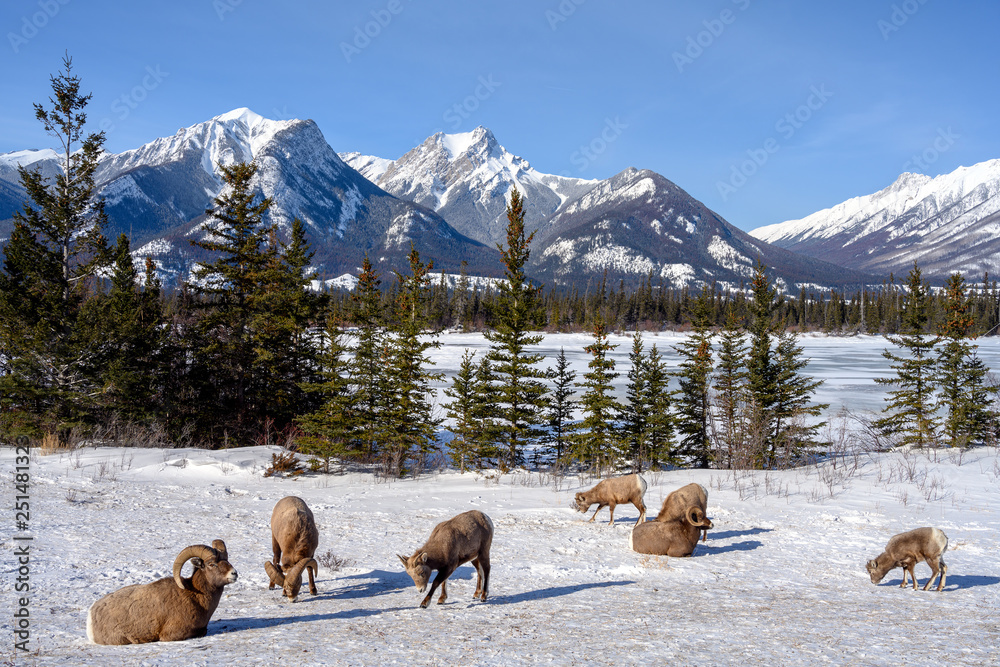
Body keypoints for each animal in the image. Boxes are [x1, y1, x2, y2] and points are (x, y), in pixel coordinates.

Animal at [86, 540, 237, 645]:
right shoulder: (171, 634)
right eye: (212, 564)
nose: (234, 573)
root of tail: (91, 614)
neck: (195, 596)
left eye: (227, 560)